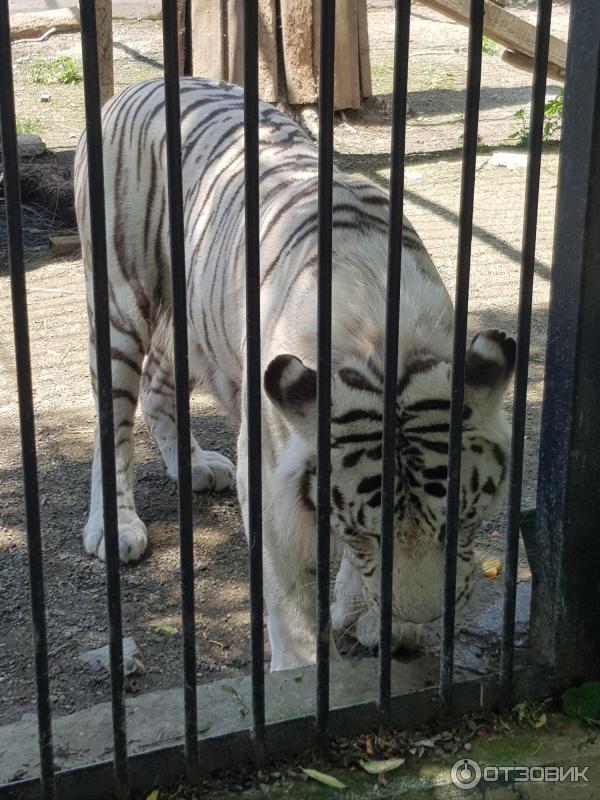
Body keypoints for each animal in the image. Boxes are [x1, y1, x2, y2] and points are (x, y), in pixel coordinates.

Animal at [74, 78, 516, 672]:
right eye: (364, 532)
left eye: (463, 524)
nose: (421, 616)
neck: (382, 340)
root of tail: (133, 88)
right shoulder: (268, 475)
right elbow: (291, 598)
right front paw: (303, 673)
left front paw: (380, 621)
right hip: (121, 302)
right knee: (113, 421)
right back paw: (116, 528)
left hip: (194, 323)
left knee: (158, 388)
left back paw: (195, 466)